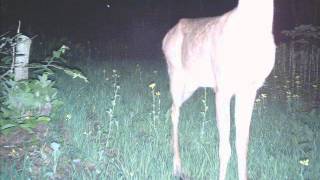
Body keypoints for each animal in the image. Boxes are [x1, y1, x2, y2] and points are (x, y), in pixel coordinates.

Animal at [162, 0, 276, 179]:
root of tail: (166, 37)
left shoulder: (250, 89)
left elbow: (242, 145)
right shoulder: (222, 88)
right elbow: (224, 149)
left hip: (192, 85)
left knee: (171, 109)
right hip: (176, 76)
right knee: (175, 112)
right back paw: (177, 167)